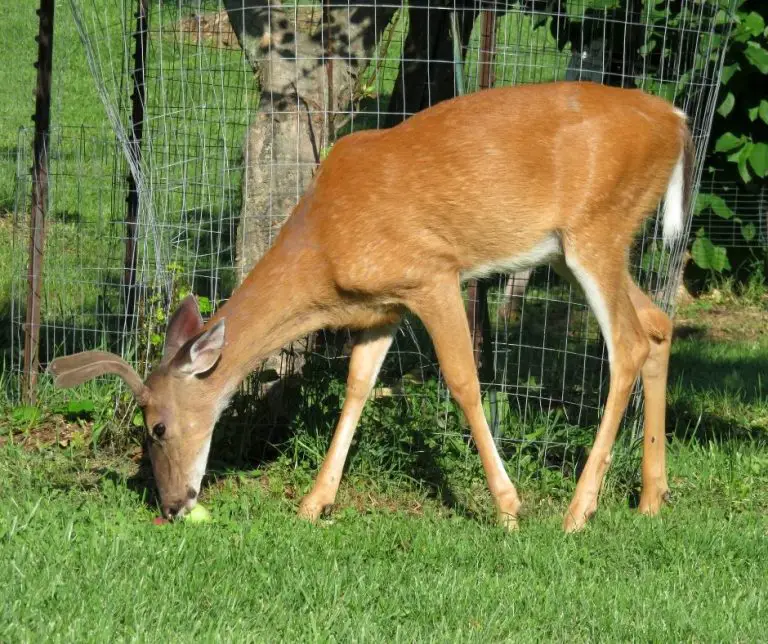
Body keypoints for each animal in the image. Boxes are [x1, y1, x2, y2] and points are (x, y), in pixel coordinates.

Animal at [49, 81, 693, 532]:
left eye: (156, 426)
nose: (173, 503)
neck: (324, 245)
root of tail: (679, 122)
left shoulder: (432, 273)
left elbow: (463, 381)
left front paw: (509, 508)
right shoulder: (382, 307)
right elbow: (357, 386)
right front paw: (314, 502)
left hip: (597, 227)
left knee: (629, 343)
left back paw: (579, 511)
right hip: (575, 247)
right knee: (658, 324)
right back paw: (651, 498)